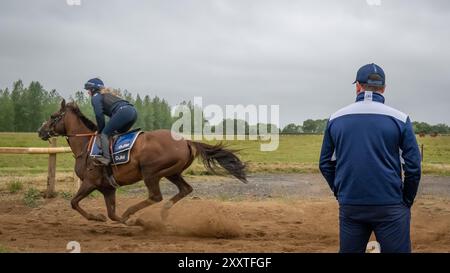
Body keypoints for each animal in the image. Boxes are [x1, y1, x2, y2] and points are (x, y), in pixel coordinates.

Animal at [38, 99, 248, 222]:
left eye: (53, 116)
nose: (41, 130)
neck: (85, 146)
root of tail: (186, 141)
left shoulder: (90, 182)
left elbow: (74, 203)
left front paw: (97, 217)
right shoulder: (107, 188)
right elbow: (112, 214)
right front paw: (121, 220)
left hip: (151, 172)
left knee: (155, 196)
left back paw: (134, 213)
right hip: (173, 173)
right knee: (184, 190)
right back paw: (163, 213)